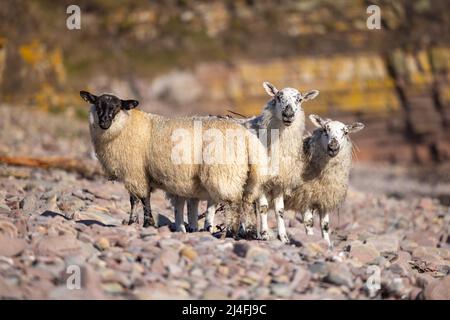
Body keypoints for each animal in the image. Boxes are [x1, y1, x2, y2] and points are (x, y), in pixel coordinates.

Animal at [79, 91, 268, 229]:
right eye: (97, 105)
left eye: (117, 107)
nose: (104, 121)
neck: (125, 126)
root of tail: (247, 137)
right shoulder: (134, 173)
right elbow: (135, 200)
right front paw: (134, 222)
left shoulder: (135, 172)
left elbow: (142, 198)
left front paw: (147, 223)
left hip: (224, 173)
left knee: (234, 203)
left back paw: (231, 231)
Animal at [284, 115, 366, 248]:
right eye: (324, 129)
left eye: (346, 132)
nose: (333, 147)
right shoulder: (305, 197)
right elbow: (309, 223)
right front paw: (310, 240)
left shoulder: (325, 198)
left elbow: (325, 225)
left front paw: (327, 244)